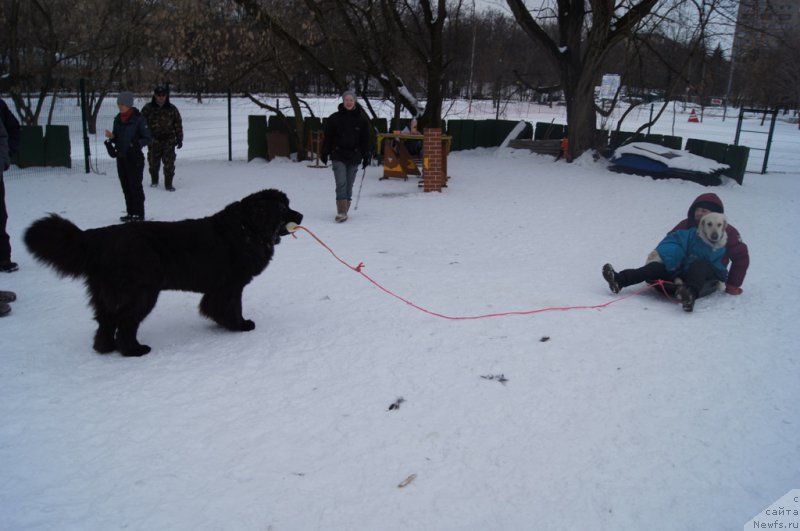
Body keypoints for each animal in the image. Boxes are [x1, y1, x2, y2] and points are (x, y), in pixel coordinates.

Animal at [23, 188, 304, 358]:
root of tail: (101, 237)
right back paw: (134, 350)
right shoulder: (231, 286)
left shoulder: (220, 288)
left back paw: (106, 348)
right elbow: (232, 307)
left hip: (106, 294)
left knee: (106, 322)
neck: (248, 228)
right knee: (125, 322)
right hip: (141, 293)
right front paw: (241, 325)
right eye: (282, 209)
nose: (300, 215)